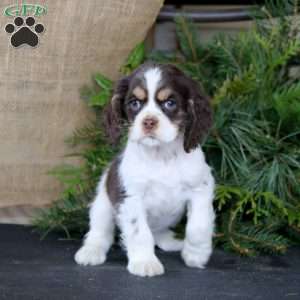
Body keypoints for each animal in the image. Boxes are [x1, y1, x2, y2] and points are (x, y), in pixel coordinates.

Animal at [75, 62, 216, 276]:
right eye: (134, 103)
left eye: (170, 103)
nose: (149, 121)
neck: (161, 156)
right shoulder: (130, 197)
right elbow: (139, 232)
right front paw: (145, 262)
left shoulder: (201, 188)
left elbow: (198, 226)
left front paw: (196, 254)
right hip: (103, 202)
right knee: (100, 232)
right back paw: (91, 252)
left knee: (158, 233)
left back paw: (172, 242)